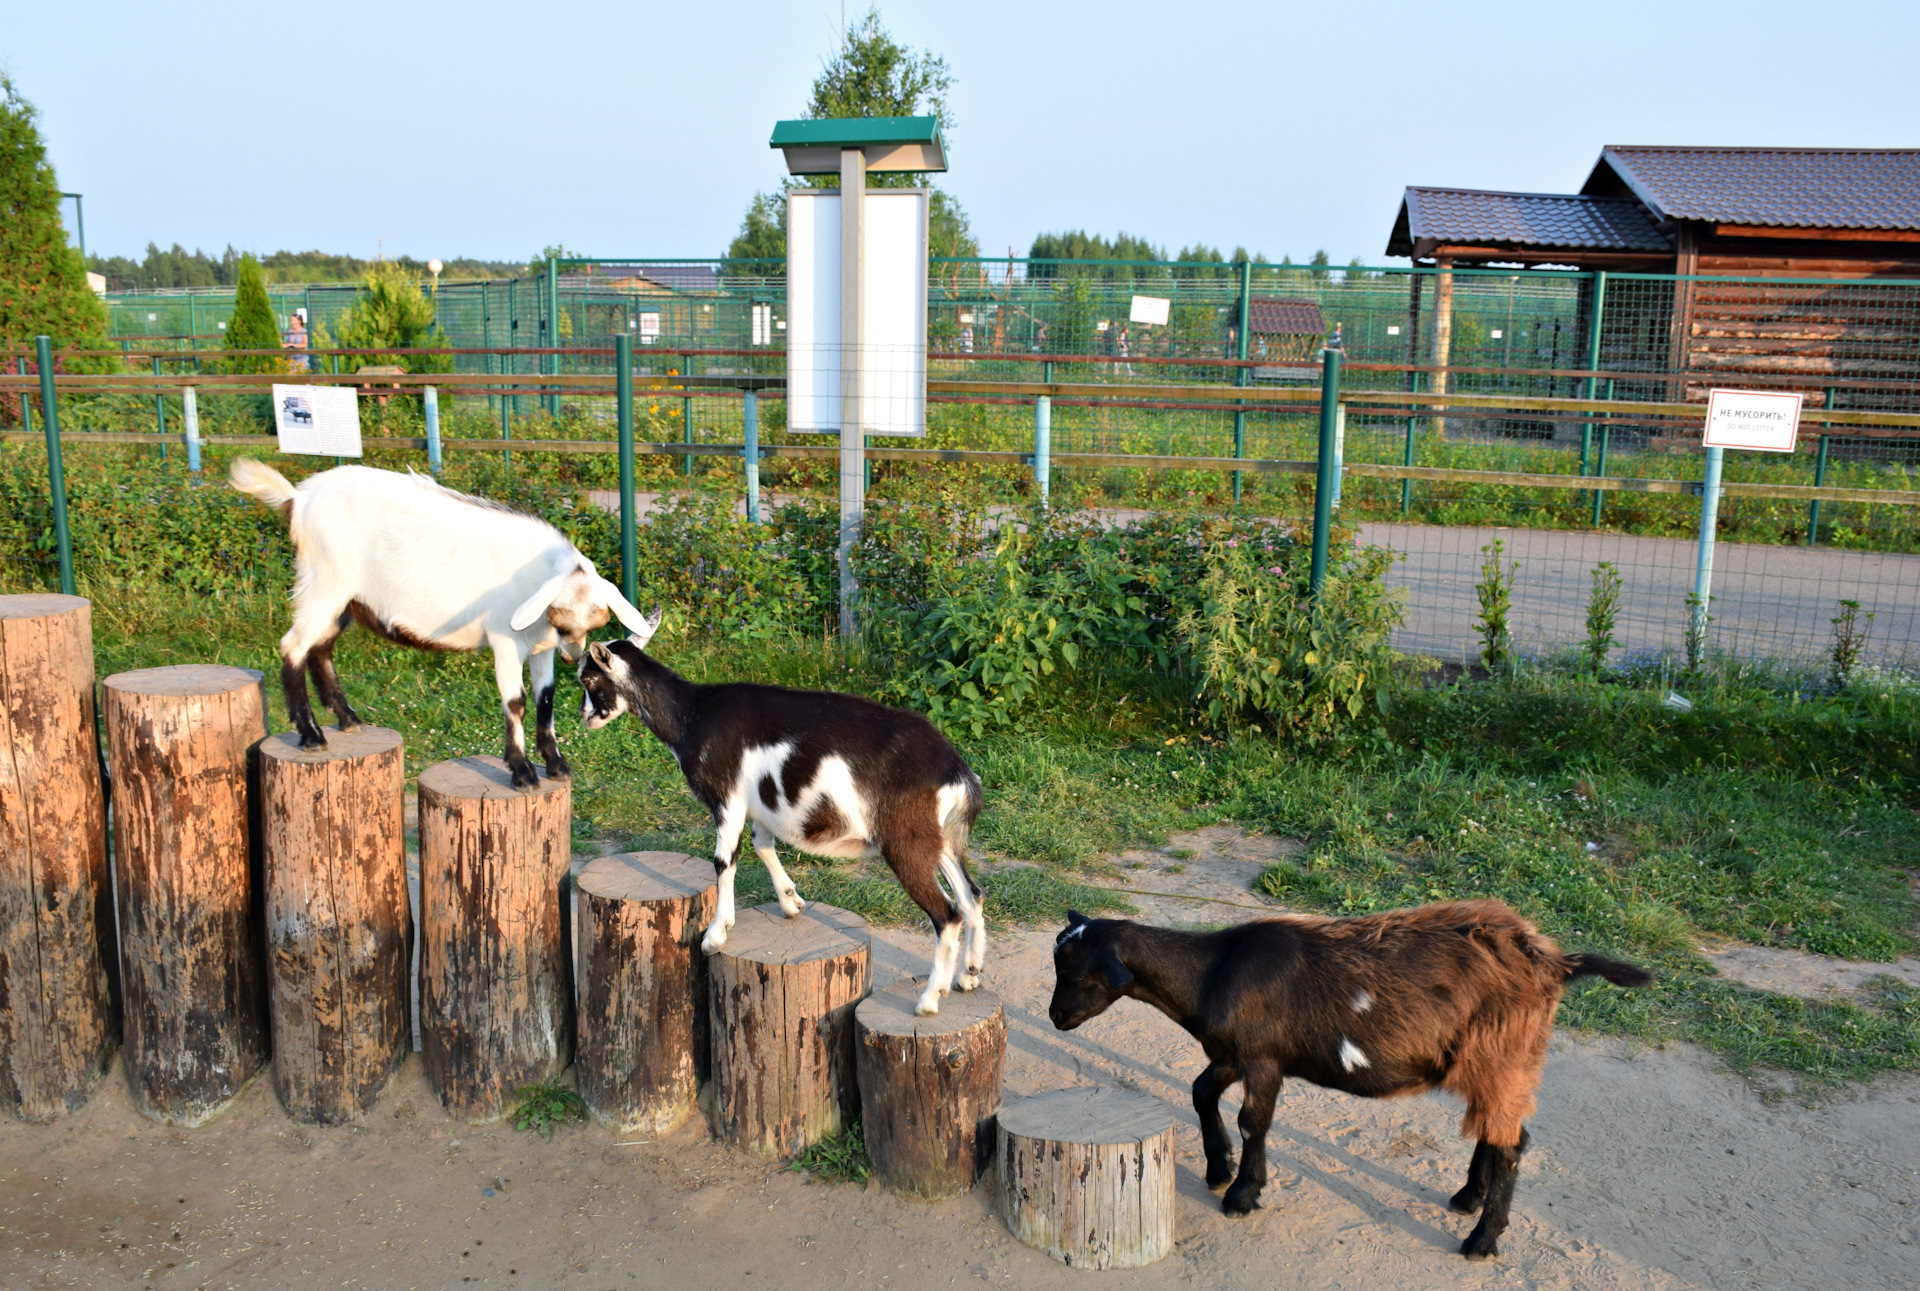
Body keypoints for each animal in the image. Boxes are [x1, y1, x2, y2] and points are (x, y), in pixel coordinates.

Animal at [229, 461, 652, 787]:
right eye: (561, 618)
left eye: (592, 622)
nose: (573, 655)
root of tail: (297, 499)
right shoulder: (505, 640)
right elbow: (515, 701)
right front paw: (522, 772)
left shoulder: (541, 647)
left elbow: (544, 699)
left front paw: (556, 764)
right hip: (324, 582)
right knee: (294, 645)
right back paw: (311, 735)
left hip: (345, 600)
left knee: (321, 646)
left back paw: (347, 719)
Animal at [576, 614, 983, 1022]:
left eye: (589, 680)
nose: (584, 717)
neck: (692, 716)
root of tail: (956, 770)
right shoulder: (760, 805)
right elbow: (762, 844)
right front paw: (791, 902)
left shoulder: (726, 798)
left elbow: (724, 861)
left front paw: (716, 934)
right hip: (940, 838)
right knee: (972, 896)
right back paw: (969, 975)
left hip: (905, 840)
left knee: (947, 914)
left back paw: (930, 999)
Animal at [1052, 902, 1651, 1252]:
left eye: (1079, 974)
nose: (1056, 1018)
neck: (1214, 970)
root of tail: (1554, 962)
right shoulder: (1232, 1053)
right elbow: (1201, 1092)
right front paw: (1218, 1168)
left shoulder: (1264, 1058)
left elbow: (1253, 1121)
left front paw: (1242, 1193)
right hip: (1493, 1062)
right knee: (1497, 1130)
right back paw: (1467, 1198)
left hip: (1502, 1052)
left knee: (1510, 1143)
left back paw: (1481, 1239)